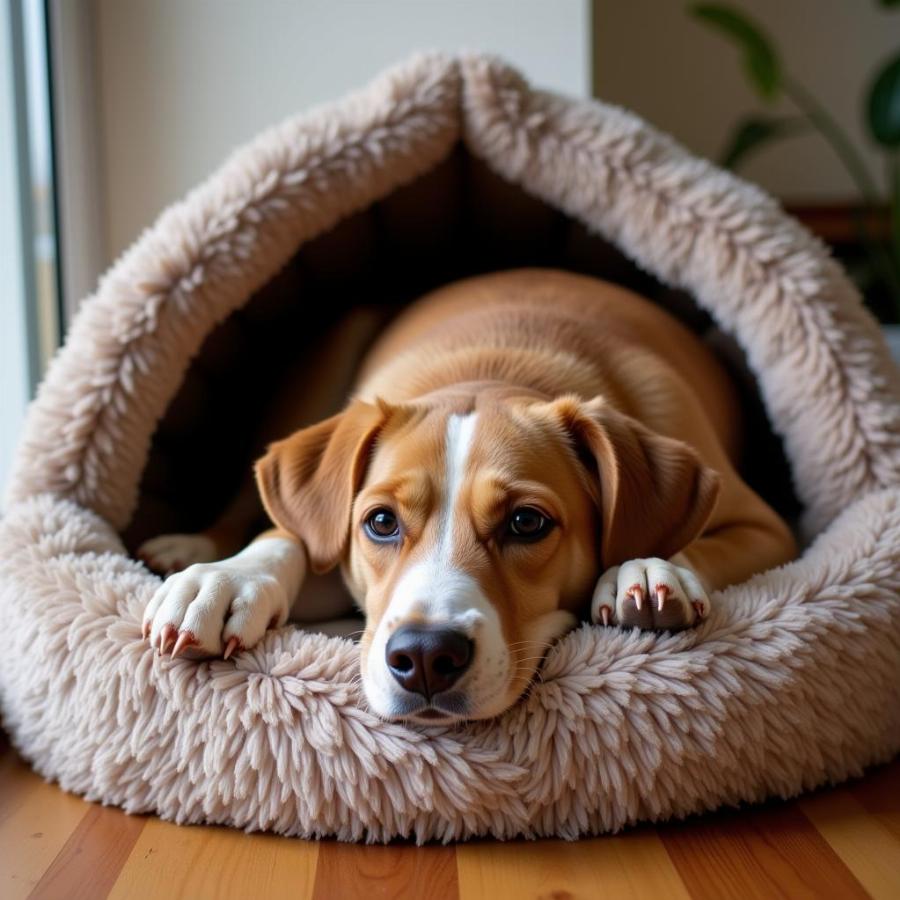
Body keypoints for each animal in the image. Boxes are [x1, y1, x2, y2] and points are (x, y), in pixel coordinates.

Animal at [135, 268, 796, 724]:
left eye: (527, 523)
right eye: (380, 522)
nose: (426, 656)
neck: (494, 365)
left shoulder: (767, 528)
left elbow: (690, 545)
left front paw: (650, 566)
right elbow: (289, 537)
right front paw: (226, 581)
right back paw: (189, 547)